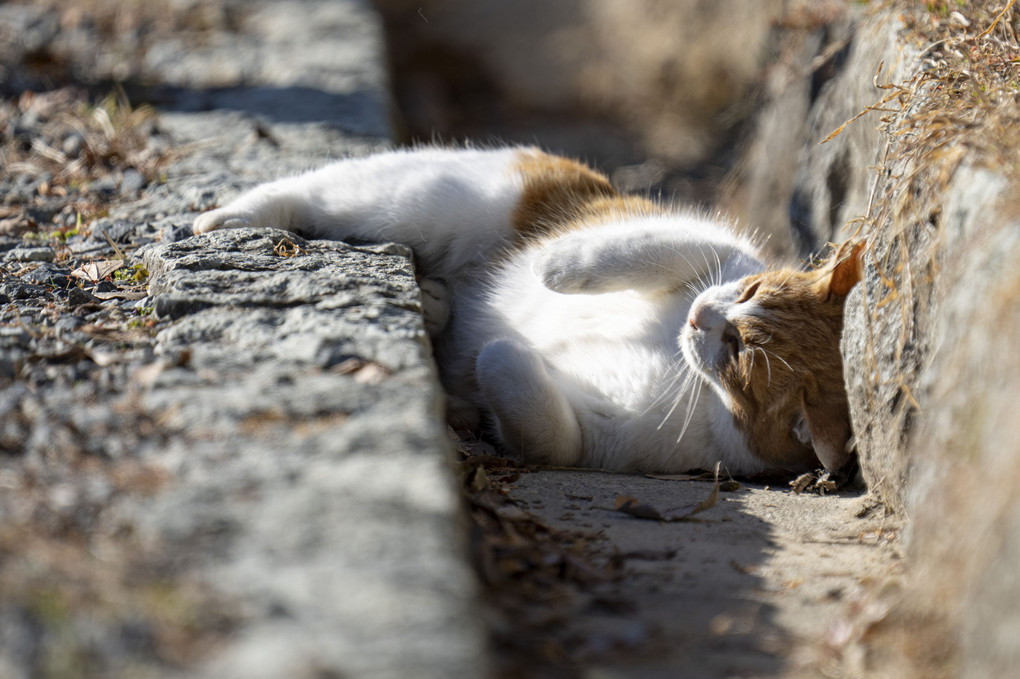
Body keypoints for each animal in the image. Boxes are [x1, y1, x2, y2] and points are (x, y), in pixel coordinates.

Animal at [192, 143, 860, 471]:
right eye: (748, 294)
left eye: (739, 353)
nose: (699, 319)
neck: (686, 373)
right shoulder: (715, 249)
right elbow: (656, 248)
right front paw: (557, 269)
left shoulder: (593, 437)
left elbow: (536, 413)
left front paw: (497, 353)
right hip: (420, 199)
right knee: (311, 191)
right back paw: (225, 219)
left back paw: (443, 314)